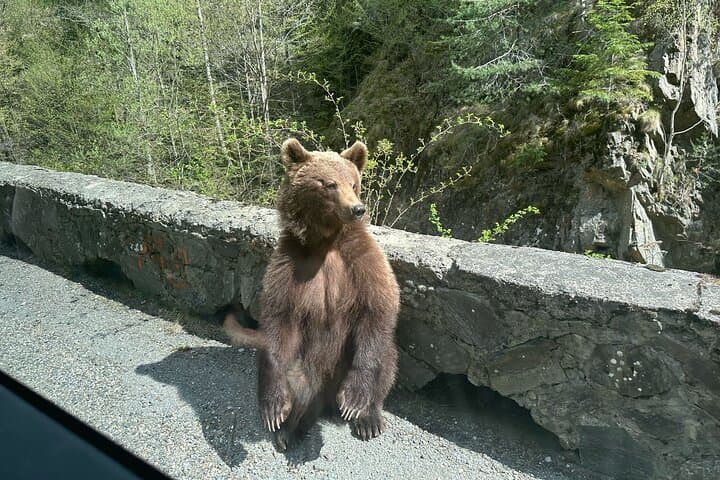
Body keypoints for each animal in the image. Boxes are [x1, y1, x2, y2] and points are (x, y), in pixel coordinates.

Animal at [224, 138, 400, 451]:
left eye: (353, 183)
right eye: (329, 184)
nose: (357, 209)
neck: (325, 241)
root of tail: (326, 400)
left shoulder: (362, 262)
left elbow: (379, 308)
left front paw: (356, 401)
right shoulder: (289, 265)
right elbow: (278, 318)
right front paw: (274, 408)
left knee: (386, 358)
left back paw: (368, 418)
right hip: (304, 364)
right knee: (292, 379)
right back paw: (287, 427)